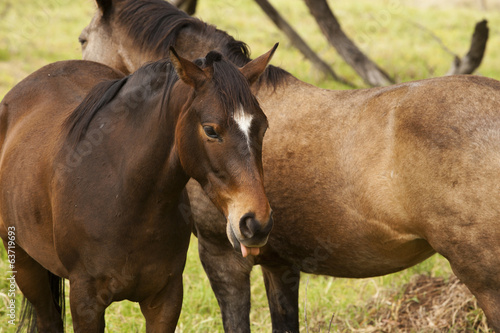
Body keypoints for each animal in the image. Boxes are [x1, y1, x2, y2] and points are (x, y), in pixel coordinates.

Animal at [0, 45, 276, 330]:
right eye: (211, 130)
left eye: (263, 127)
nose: (257, 223)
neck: (125, 198)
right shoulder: (85, 302)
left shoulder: (165, 299)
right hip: (24, 263)